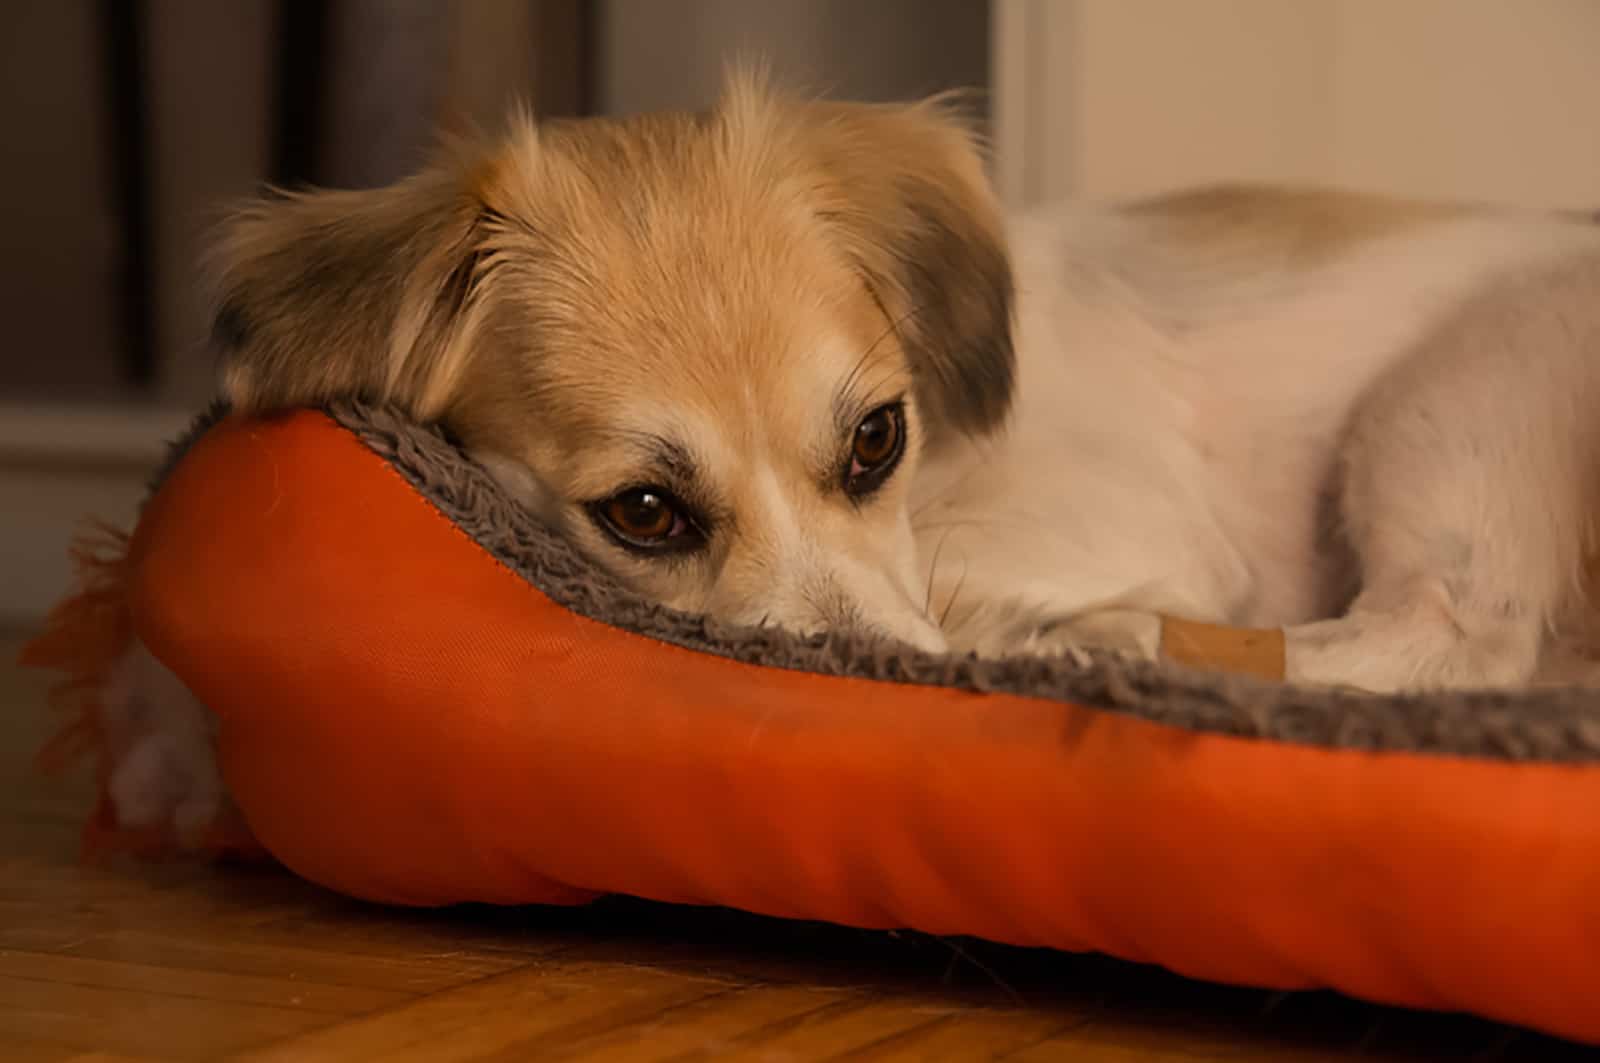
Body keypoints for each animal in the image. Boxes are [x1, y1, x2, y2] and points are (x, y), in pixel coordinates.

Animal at [106, 70, 1600, 845]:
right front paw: (171, 753)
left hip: (1452, 396)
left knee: (1454, 633)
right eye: (644, 509)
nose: (886, 686)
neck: (945, 465)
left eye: (876, 437)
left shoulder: (1148, 532)